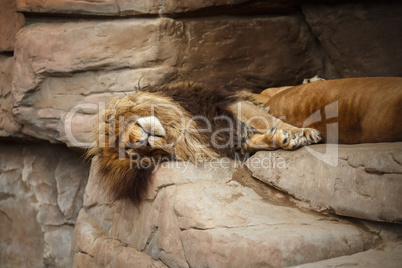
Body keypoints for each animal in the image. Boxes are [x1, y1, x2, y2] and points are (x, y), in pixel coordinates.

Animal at [88, 76, 402, 204]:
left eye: (124, 144)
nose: (143, 144)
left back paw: (311, 81)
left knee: (268, 93)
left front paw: (302, 132)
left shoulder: (220, 103)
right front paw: (283, 140)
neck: (184, 130)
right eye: (138, 156)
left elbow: (263, 115)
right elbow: (254, 138)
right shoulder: (226, 135)